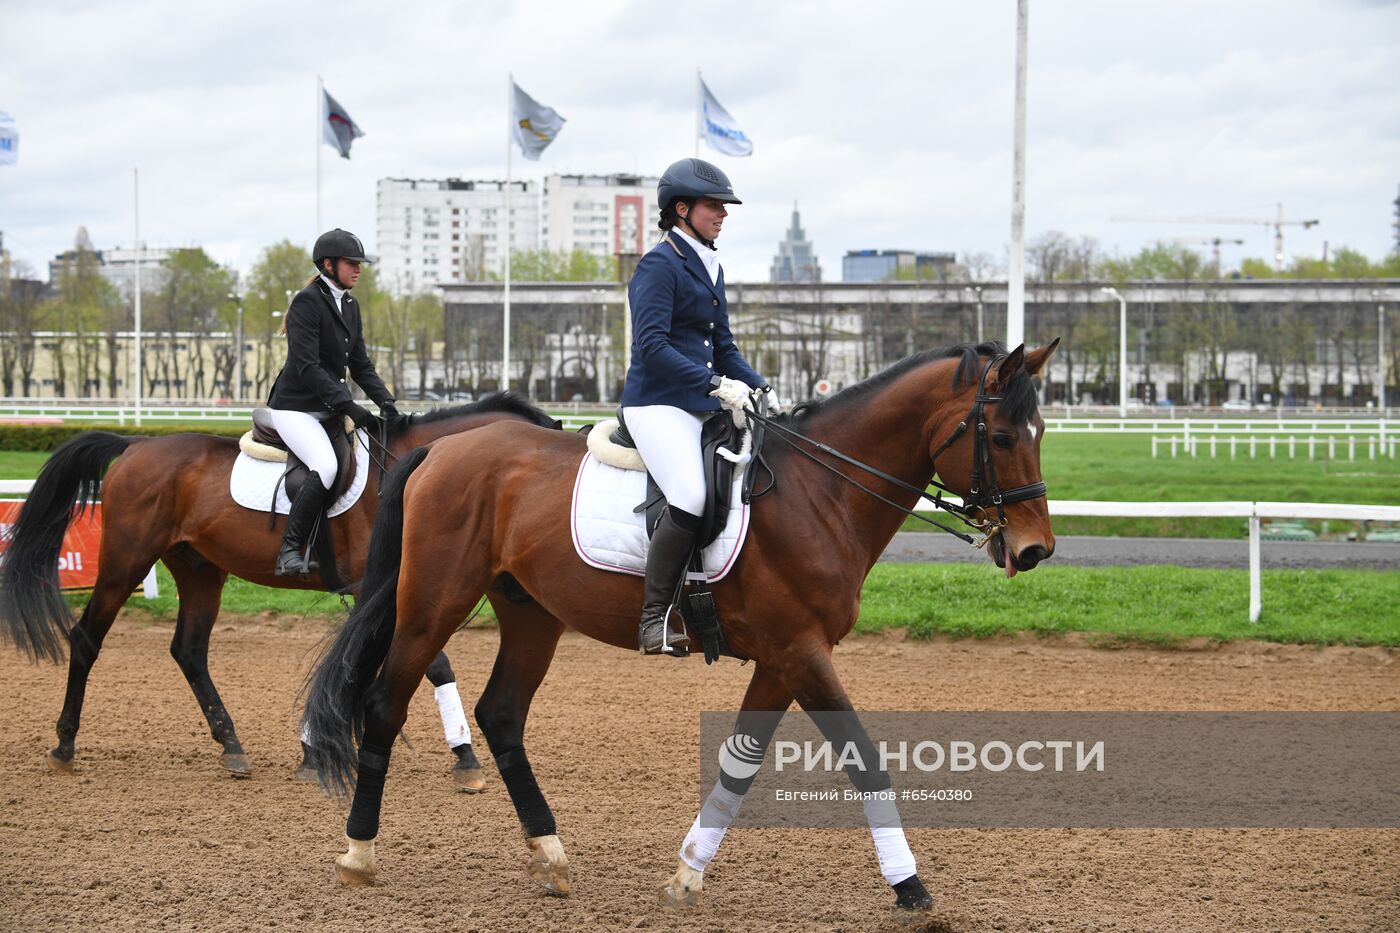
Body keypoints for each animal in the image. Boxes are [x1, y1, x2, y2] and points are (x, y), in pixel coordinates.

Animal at [1, 389, 557, 778]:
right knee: (87, 638)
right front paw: (463, 755)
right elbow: (429, 661)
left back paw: (231, 746)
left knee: (189, 651)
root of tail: (136, 445)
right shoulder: (376, 590)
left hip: (199, 569)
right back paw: (64, 745)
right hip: (126, 561)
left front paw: (316, 748)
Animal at [301, 340, 1052, 907]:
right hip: (433, 602)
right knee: (384, 702)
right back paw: (359, 852)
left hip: (531, 614)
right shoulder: (802, 651)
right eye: (1002, 436)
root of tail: (438, 451)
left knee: (502, 714)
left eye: (1040, 434)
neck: (822, 493)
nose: (1036, 549)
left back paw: (550, 855)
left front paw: (688, 873)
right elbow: (863, 758)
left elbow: (741, 761)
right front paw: (909, 886)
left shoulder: (783, 658)